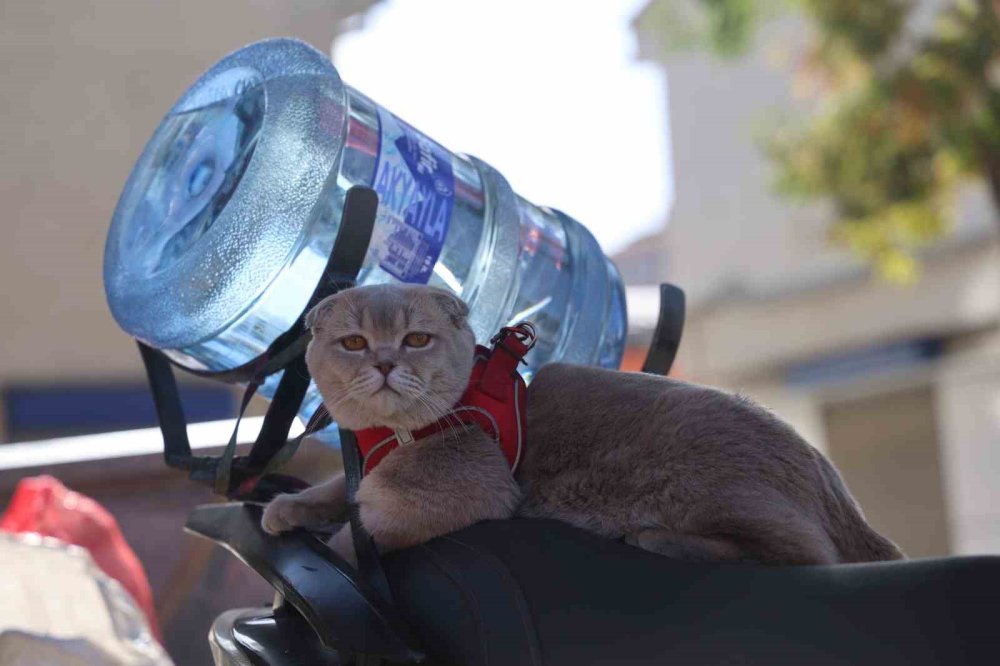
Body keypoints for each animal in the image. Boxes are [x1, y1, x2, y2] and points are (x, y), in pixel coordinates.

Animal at [262, 282, 904, 564]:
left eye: (416, 338)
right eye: (353, 342)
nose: (384, 362)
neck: (392, 435)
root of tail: (833, 486)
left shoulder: (468, 492)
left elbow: (366, 521)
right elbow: (336, 487)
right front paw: (289, 508)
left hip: (698, 483)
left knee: (806, 555)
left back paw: (651, 537)